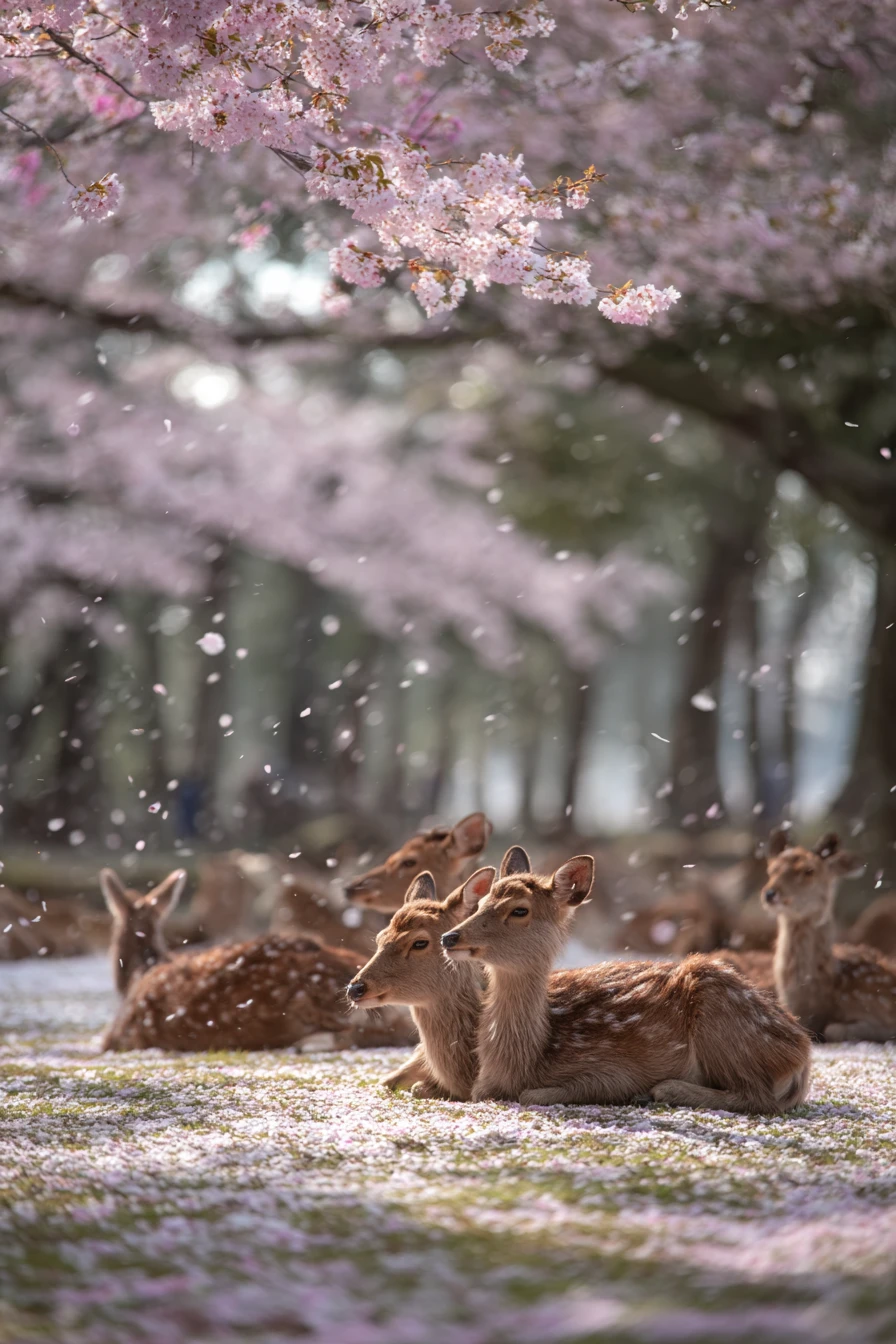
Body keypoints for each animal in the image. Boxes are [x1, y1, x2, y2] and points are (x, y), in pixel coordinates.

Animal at [442, 847, 811, 1114]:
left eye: (519, 910)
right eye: (482, 902)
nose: (450, 937)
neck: (526, 1060)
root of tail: (801, 1053)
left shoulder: (614, 1069)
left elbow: (534, 1094)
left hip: (721, 1018)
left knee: (760, 1097)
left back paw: (662, 1090)